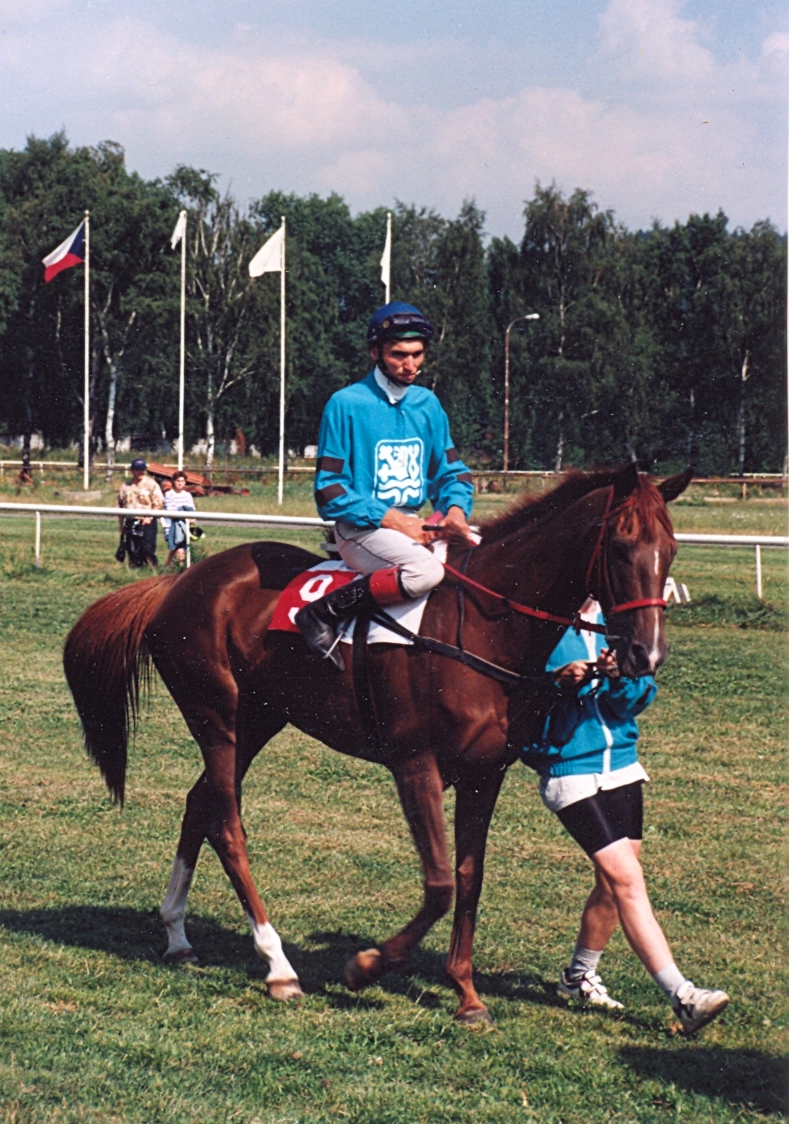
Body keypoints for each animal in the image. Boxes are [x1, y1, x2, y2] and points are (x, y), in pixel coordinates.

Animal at [64, 465, 687, 1029]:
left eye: (672, 549)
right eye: (622, 546)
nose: (646, 654)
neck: (479, 625)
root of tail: (178, 584)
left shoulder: (485, 773)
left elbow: (469, 877)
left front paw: (466, 993)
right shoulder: (415, 765)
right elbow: (439, 885)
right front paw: (366, 966)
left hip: (258, 721)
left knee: (200, 805)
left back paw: (177, 934)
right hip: (217, 719)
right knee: (227, 825)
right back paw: (278, 965)